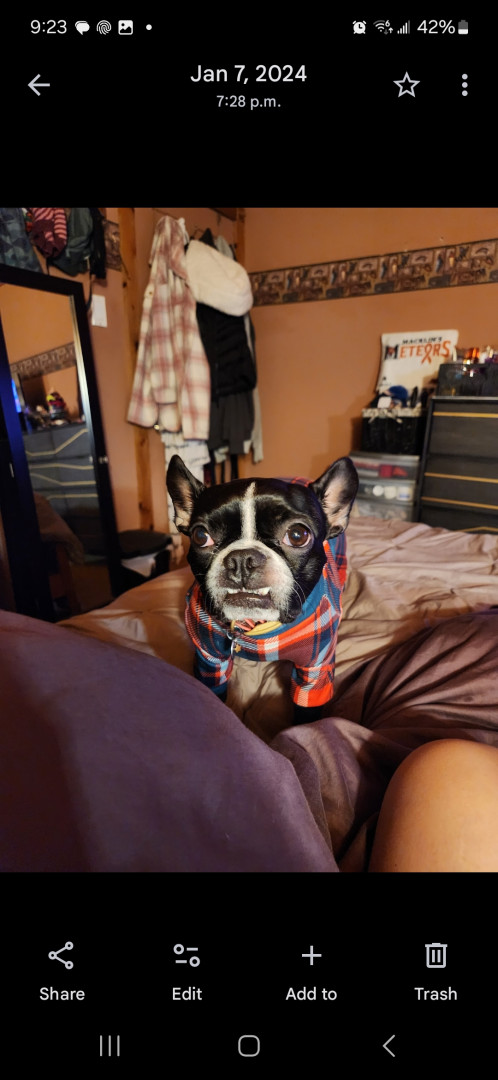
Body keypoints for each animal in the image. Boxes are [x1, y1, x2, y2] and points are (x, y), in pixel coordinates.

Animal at [166, 455, 358, 725]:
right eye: (200, 536)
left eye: (298, 535)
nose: (242, 559)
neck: (255, 629)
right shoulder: (209, 660)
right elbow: (213, 694)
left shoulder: (315, 669)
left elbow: (306, 709)